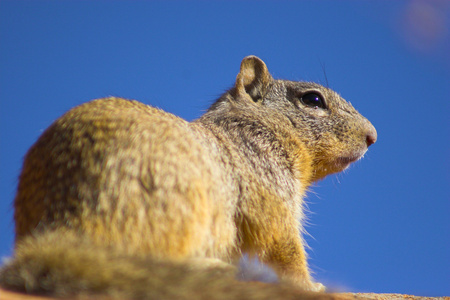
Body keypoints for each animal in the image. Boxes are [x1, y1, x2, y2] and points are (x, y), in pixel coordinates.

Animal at [0, 55, 376, 298]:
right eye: (313, 99)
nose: (373, 136)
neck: (250, 124)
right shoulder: (270, 185)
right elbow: (283, 244)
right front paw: (311, 286)